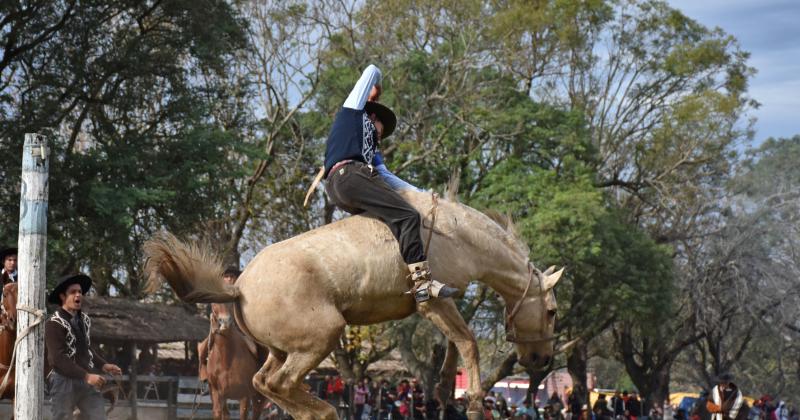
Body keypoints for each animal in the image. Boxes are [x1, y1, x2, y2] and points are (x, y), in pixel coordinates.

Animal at [145, 190, 568, 420]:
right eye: (551, 311)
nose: (542, 359)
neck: (457, 233)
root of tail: (240, 289)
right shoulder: (431, 303)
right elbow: (468, 343)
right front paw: (477, 403)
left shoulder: (444, 302)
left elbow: (454, 347)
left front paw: (449, 392)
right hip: (322, 336)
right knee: (279, 384)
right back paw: (325, 411)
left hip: (280, 349)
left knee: (264, 382)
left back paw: (316, 411)